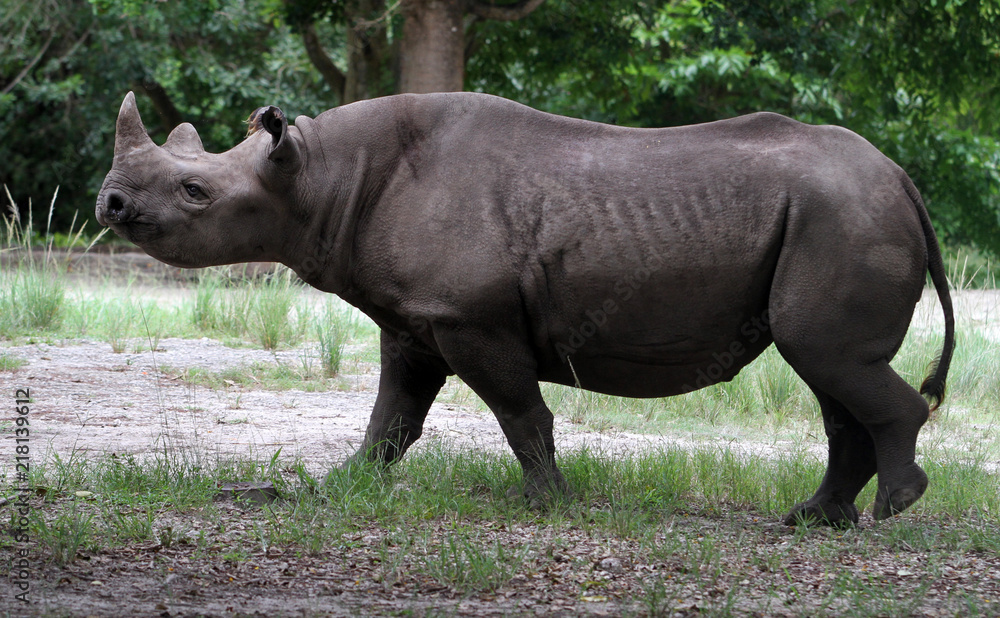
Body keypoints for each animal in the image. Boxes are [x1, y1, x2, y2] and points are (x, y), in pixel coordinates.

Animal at [97, 91, 954, 526]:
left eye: (194, 192)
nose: (109, 204)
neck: (319, 174)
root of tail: (904, 181)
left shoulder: (469, 317)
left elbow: (518, 412)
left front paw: (548, 505)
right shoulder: (415, 321)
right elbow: (391, 421)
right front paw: (341, 487)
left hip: (843, 216)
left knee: (827, 357)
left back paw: (890, 511)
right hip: (837, 213)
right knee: (828, 373)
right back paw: (815, 519)